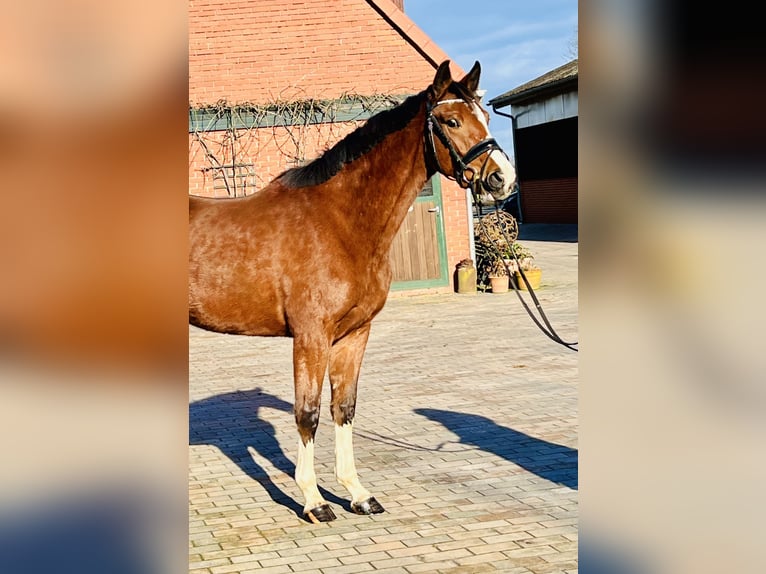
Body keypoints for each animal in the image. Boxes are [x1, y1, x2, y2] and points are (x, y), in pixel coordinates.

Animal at [189, 60, 520, 524]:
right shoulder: (311, 337)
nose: (502, 178)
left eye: (486, 117)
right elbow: (307, 414)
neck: (340, 220)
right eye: (451, 121)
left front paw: (358, 494)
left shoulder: (354, 334)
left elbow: (343, 408)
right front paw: (314, 501)